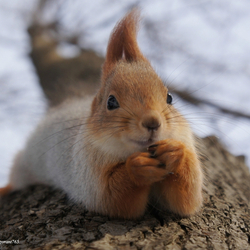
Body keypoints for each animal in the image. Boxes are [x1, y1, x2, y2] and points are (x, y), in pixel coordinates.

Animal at [0, 9, 203, 219]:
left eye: (169, 98)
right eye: (110, 102)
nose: (152, 122)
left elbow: (185, 200)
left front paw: (174, 152)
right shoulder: (86, 172)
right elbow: (110, 197)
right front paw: (137, 167)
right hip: (24, 164)